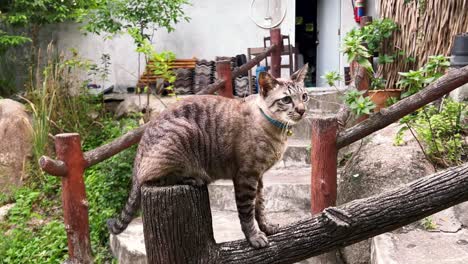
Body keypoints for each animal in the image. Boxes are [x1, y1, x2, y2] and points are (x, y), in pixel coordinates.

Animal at [108, 63, 308, 248]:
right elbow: (247, 213)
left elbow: (260, 207)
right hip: (182, 135)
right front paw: (254, 237)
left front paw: (267, 227)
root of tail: (142, 140)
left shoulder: (258, 177)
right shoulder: (246, 176)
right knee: (152, 180)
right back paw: (193, 178)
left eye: (304, 96)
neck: (277, 130)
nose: (302, 110)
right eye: (286, 99)